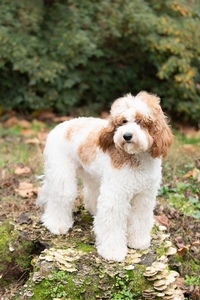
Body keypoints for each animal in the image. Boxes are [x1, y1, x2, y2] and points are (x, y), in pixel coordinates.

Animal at [37, 92, 173, 262]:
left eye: (141, 121)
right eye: (123, 121)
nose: (127, 136)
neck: (136, 158)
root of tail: (60, 125)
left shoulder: (144, 197)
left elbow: (140, 219)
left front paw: (138, 241)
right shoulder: (115, 196)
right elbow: (112, 223)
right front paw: (112, 251)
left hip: (93, 176)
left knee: (91, 194)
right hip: (61, 174)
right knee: (60, 198)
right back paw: (57, 224)